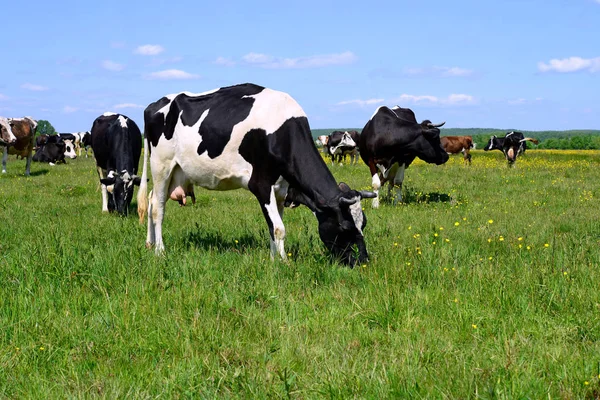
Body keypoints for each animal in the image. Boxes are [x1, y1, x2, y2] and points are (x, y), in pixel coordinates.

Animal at [138, 83, 378, 266]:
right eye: (345, 226)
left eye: (364, 223)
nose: (363, 261)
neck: (281, 132)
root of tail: (154, 104)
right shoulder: (261, 185)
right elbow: (279, 228)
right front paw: (283, 263)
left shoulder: (280, 190)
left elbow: (273, 226)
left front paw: (273, 259)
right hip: (161, 165)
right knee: (158, 208)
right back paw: (160, 251)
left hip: (177, 172)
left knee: (151, 201)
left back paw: (149, 244)